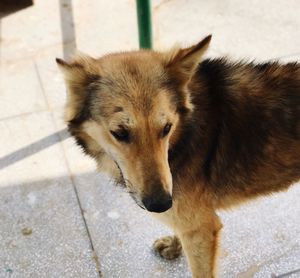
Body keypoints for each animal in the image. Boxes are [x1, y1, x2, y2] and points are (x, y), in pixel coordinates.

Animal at [56, 35, 300, 278]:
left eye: (166, 128)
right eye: (120, 133)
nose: (161, 203)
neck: (186, 134)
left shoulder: (202, 229)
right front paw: (174, 245)